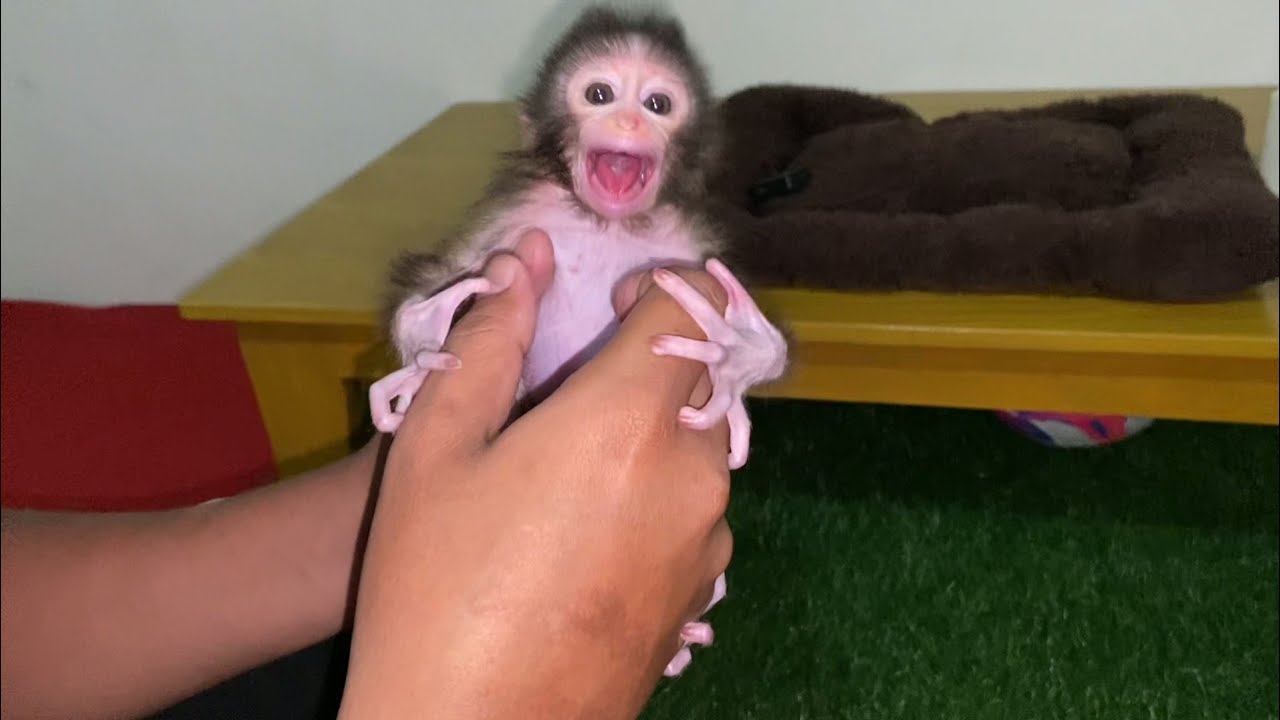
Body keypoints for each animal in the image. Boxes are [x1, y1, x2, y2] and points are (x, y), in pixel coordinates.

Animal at [366, 5, 788, 677]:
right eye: (599, 94)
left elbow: (762, 342)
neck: (604, 224)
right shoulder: (509, 224)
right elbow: (443, 277)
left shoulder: (693, 245)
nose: (628, 120)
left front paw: (734, 352)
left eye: (658, 103)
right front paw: (425, 340)